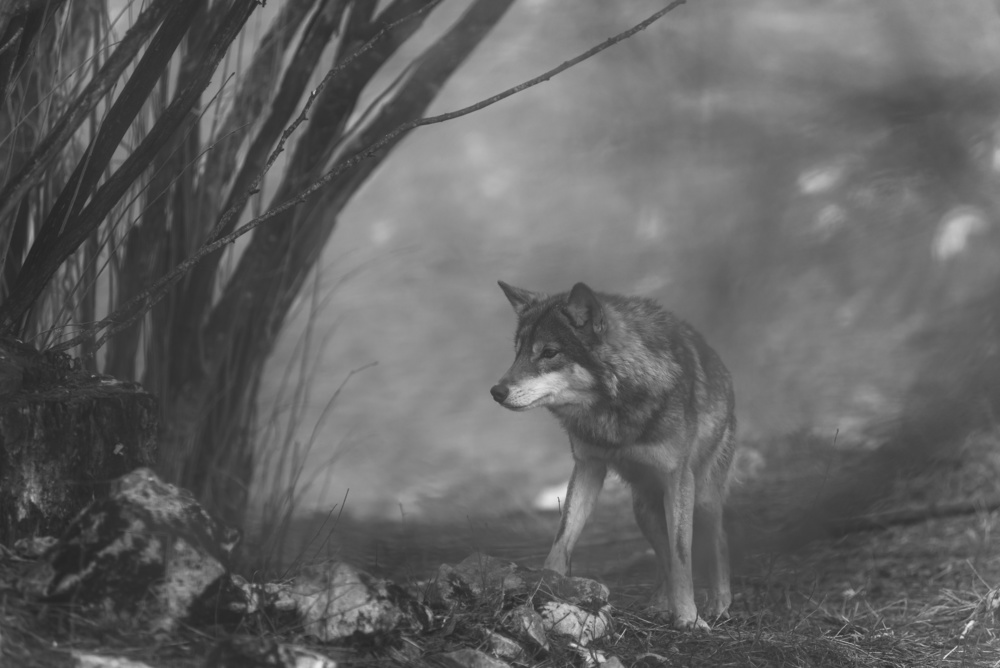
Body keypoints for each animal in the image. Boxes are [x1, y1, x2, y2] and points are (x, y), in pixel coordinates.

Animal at [490, 281, 736, 630]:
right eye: (518, 352)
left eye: (549, 353)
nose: (496, 392)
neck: (612, 410)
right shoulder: (587, 467)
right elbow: (562, 537)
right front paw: (547, 585)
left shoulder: (678, 479)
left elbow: (682, 556)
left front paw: (689, 618)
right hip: (644, 509)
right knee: (662, 557)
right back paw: (660, 605)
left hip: (701, 498)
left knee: (718, 540)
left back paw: (718, 605)